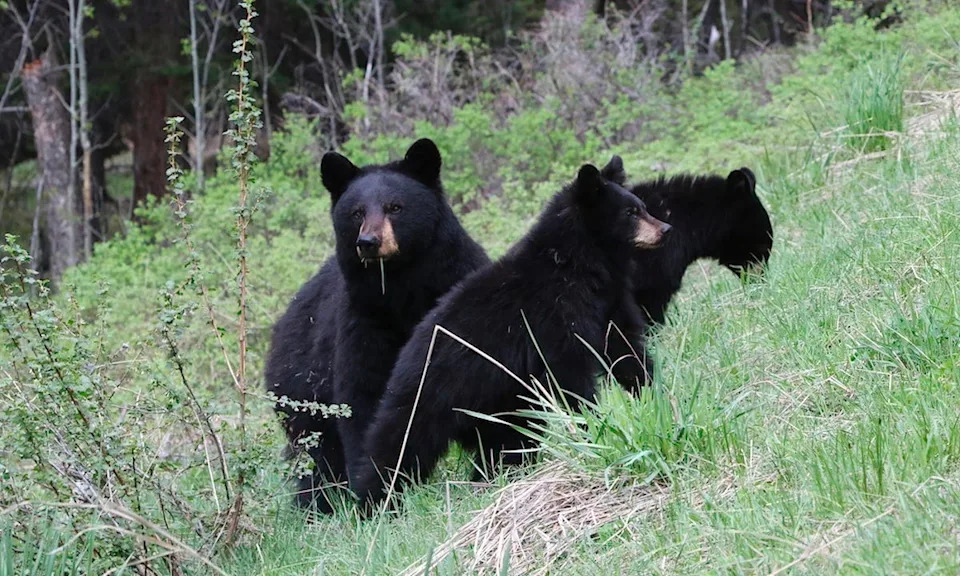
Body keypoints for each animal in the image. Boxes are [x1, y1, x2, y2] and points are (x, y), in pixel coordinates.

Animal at [264, 138, 490, 512]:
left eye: (394, 207)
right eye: (356, 212)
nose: (368, 242)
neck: (401, 289)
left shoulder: (456, 294)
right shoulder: (364, 318)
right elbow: (363, 394)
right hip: (300, 385)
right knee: (317, 453)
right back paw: (317, 505)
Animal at [348, 157, 671, 508]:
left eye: (642, 207)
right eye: (631, 212)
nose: (665, 230)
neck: (582, 266)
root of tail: (405, 355)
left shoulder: (611, 302)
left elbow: (626, 349)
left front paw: (654, 394)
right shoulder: (553, 317)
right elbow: (570, 375)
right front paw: (593, 426)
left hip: (498, 403)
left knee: (506, 439)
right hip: (430, 394)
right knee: (397, 443)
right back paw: (372, 503)